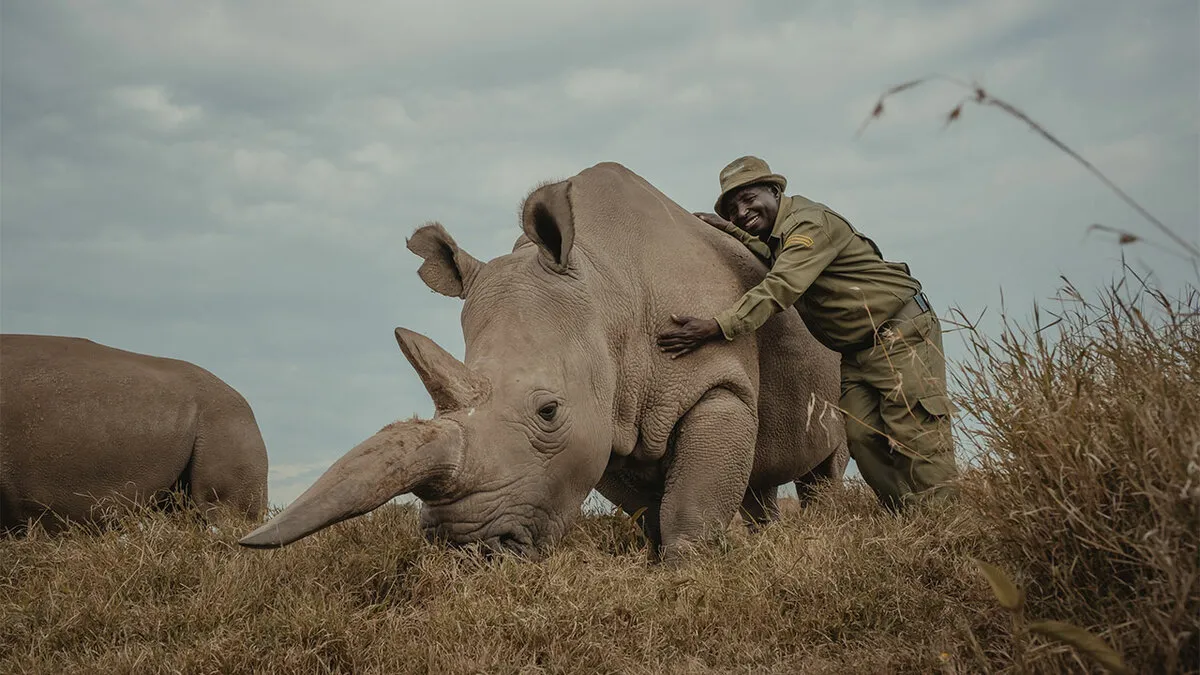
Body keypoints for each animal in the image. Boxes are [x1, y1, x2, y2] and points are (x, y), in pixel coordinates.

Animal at [239, 162, 847, 560]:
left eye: (548, 411)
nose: (470, 551)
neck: (608, 290)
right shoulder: (609, 416)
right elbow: (651, 504)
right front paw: (662, 562)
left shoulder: (715, 384)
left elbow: (690, 504)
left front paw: (688, 571)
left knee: (826, 463)